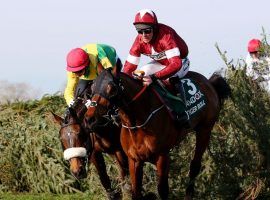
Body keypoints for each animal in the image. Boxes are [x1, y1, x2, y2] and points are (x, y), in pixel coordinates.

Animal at [85, 69, 231, 199]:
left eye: (112, 88)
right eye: (92, 89)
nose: (89, 119)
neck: (138, 123)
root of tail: (208, 82)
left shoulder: (162, 156)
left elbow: (162, 191)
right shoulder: (134, 160)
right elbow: (135, 192)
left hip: (205, 129)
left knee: (195, 166)